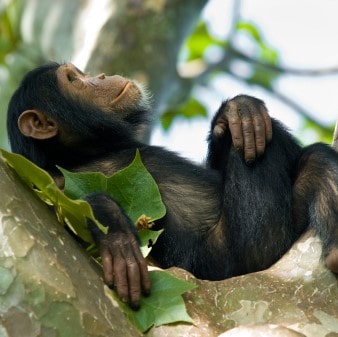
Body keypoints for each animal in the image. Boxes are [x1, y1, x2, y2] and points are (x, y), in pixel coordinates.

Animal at [5, 61, 338, 308]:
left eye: (80, 73)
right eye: (74, 79)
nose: (98, 76)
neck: (90, 151)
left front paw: (238, 110)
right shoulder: (49, 180)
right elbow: (63, 209)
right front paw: (116, 236)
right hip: (247, 250)